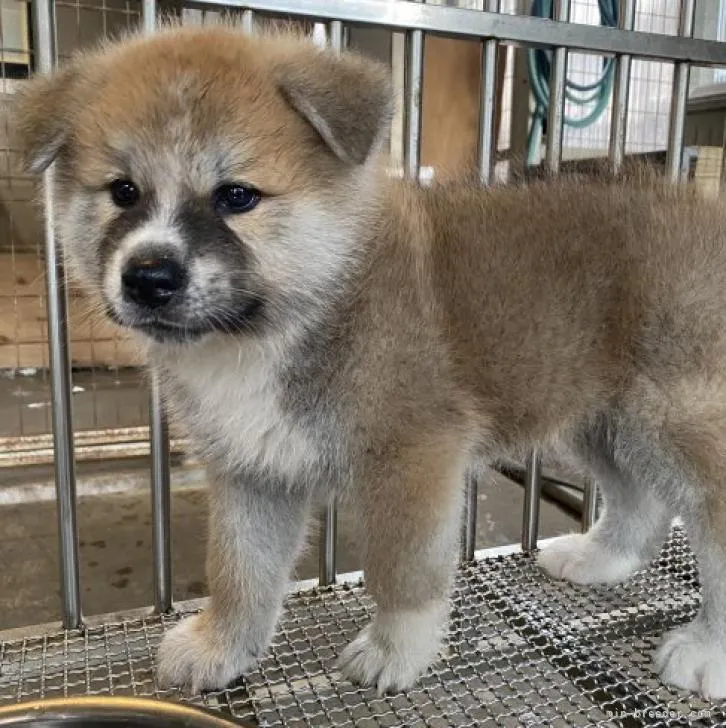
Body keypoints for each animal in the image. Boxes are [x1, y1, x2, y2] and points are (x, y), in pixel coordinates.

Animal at [14, 21, 726, 700]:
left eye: (237, 196)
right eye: (123, 191)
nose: (148, 277)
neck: (290, 317)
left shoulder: (415, 457)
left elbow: (403, 572)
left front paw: (396, 650)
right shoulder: (251, 470)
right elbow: (241, 573)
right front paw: (224, 646)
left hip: (671, 420)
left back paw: (706, 652)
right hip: (604, 420)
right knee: (641, 504)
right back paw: (601, 558)